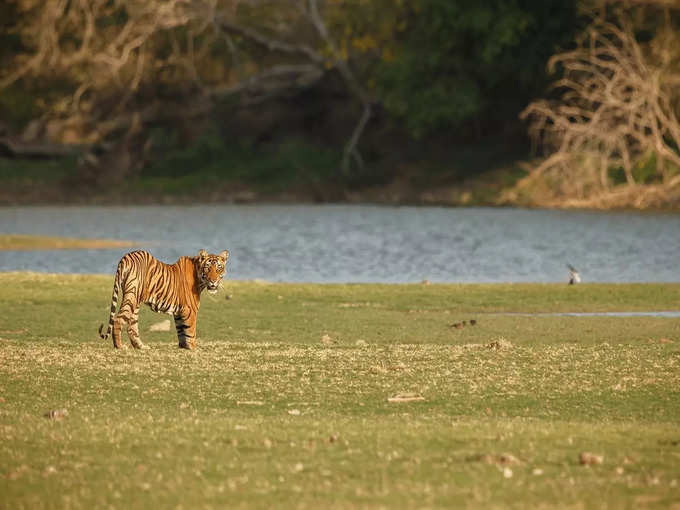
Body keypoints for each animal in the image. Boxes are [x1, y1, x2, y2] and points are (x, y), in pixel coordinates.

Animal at [98, 248, 230, 350]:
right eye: (207, 268)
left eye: (218, 268)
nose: (213, 281)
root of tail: (126, 256)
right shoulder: (190, 310)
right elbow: (191, 332)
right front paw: (193, 348)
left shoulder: (179, 313)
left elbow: (182, 332)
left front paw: (183, 347)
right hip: (132, 295)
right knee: (118, 319)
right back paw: (119, 346)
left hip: (135, 301)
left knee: (132, 326)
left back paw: (141, 346)